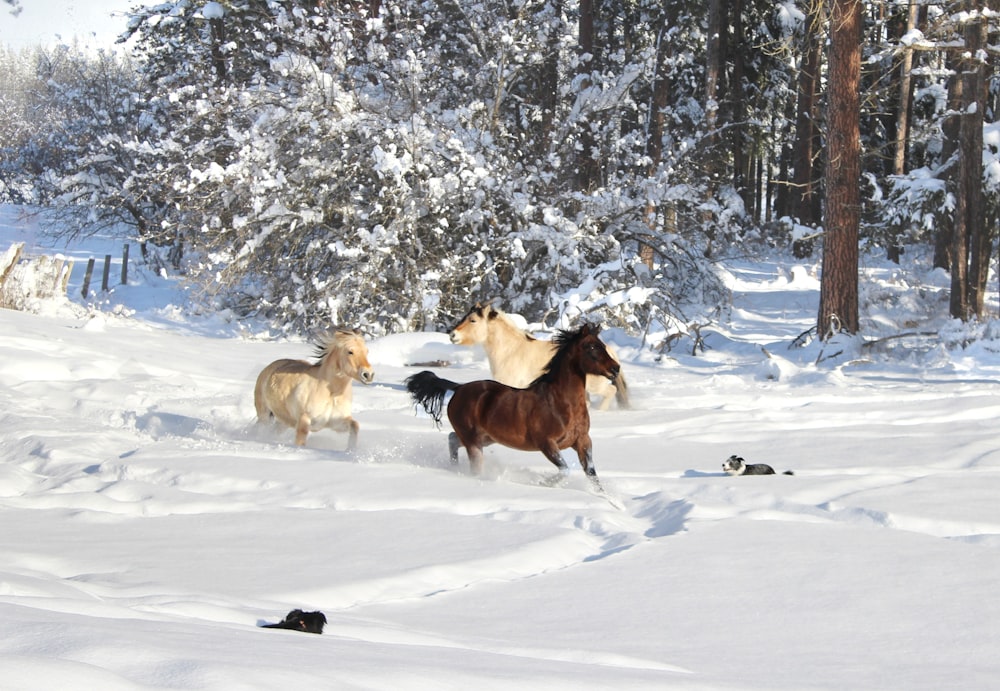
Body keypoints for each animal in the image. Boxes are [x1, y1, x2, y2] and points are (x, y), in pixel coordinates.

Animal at [406, 324, 616, 486]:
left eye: (602, 346)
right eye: (591, 347)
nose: (615, 369)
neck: (562, 403)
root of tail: (458, 387)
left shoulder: (583, 441)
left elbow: (593, 476)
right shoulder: (547, 443)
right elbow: (565, 470)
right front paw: (542, 483)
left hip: (484, 438)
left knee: (452, 439)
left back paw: (454, 468)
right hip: (473, 441)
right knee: (470, 461)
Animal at [450, 302, 628, 410]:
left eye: (473, 320)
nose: (452, 335)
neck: (510, 350)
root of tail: (612, 355)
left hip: (596, 386)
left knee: (611, 391)